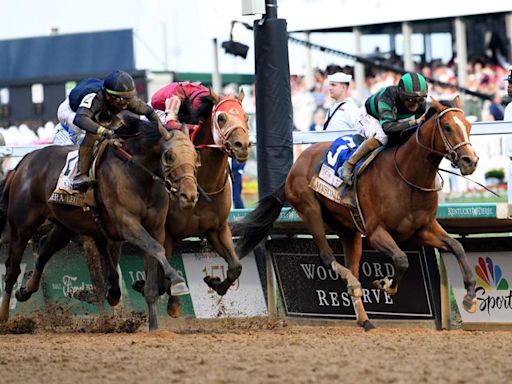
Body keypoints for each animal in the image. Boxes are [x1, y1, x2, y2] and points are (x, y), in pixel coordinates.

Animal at [0, 119, 200, 330]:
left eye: (195, 155)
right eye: (169, 156)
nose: (189, 195)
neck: (137, 174)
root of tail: (24, 161)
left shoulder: (155, 229)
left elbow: (151, 275)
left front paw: (153, 326)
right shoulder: (126, 223)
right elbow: (156, 249)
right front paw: (178, 280)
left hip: (65, 226)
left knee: (44, 252)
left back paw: (26, 290)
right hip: (22, 226)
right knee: (12, 270)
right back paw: (5, 316)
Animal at [232, 97, 480, 330]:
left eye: (468, 125)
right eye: (447, 127)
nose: (471, 161)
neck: (407, 175)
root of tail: (294, 166)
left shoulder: (423, 228)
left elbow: (457, 246)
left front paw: (470, 296)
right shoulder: (376, 232)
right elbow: (401, 260)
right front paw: (385, 284)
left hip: (347, 229)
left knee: (351, 264)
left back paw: (365, 319)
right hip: (310, 209)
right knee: (328, 258)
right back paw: (354, 284)